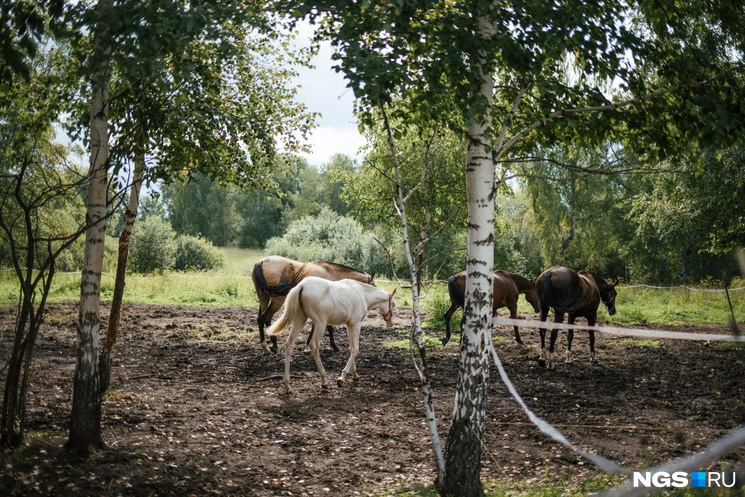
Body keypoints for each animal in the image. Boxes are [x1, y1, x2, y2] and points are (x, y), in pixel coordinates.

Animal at [266, 278, 396, 394]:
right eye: (393, 305)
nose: (391, 323)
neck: (362, 294)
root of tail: (301, 286)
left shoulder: (349, 325)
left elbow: (351, 348)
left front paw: (355, 375)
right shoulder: (356, 324)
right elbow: (355, 349)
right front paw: (342, 378)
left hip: (299, 320)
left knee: (289, 344)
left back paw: (288, 386)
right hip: (320, 324)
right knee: (314, 346)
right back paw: (324, 381)